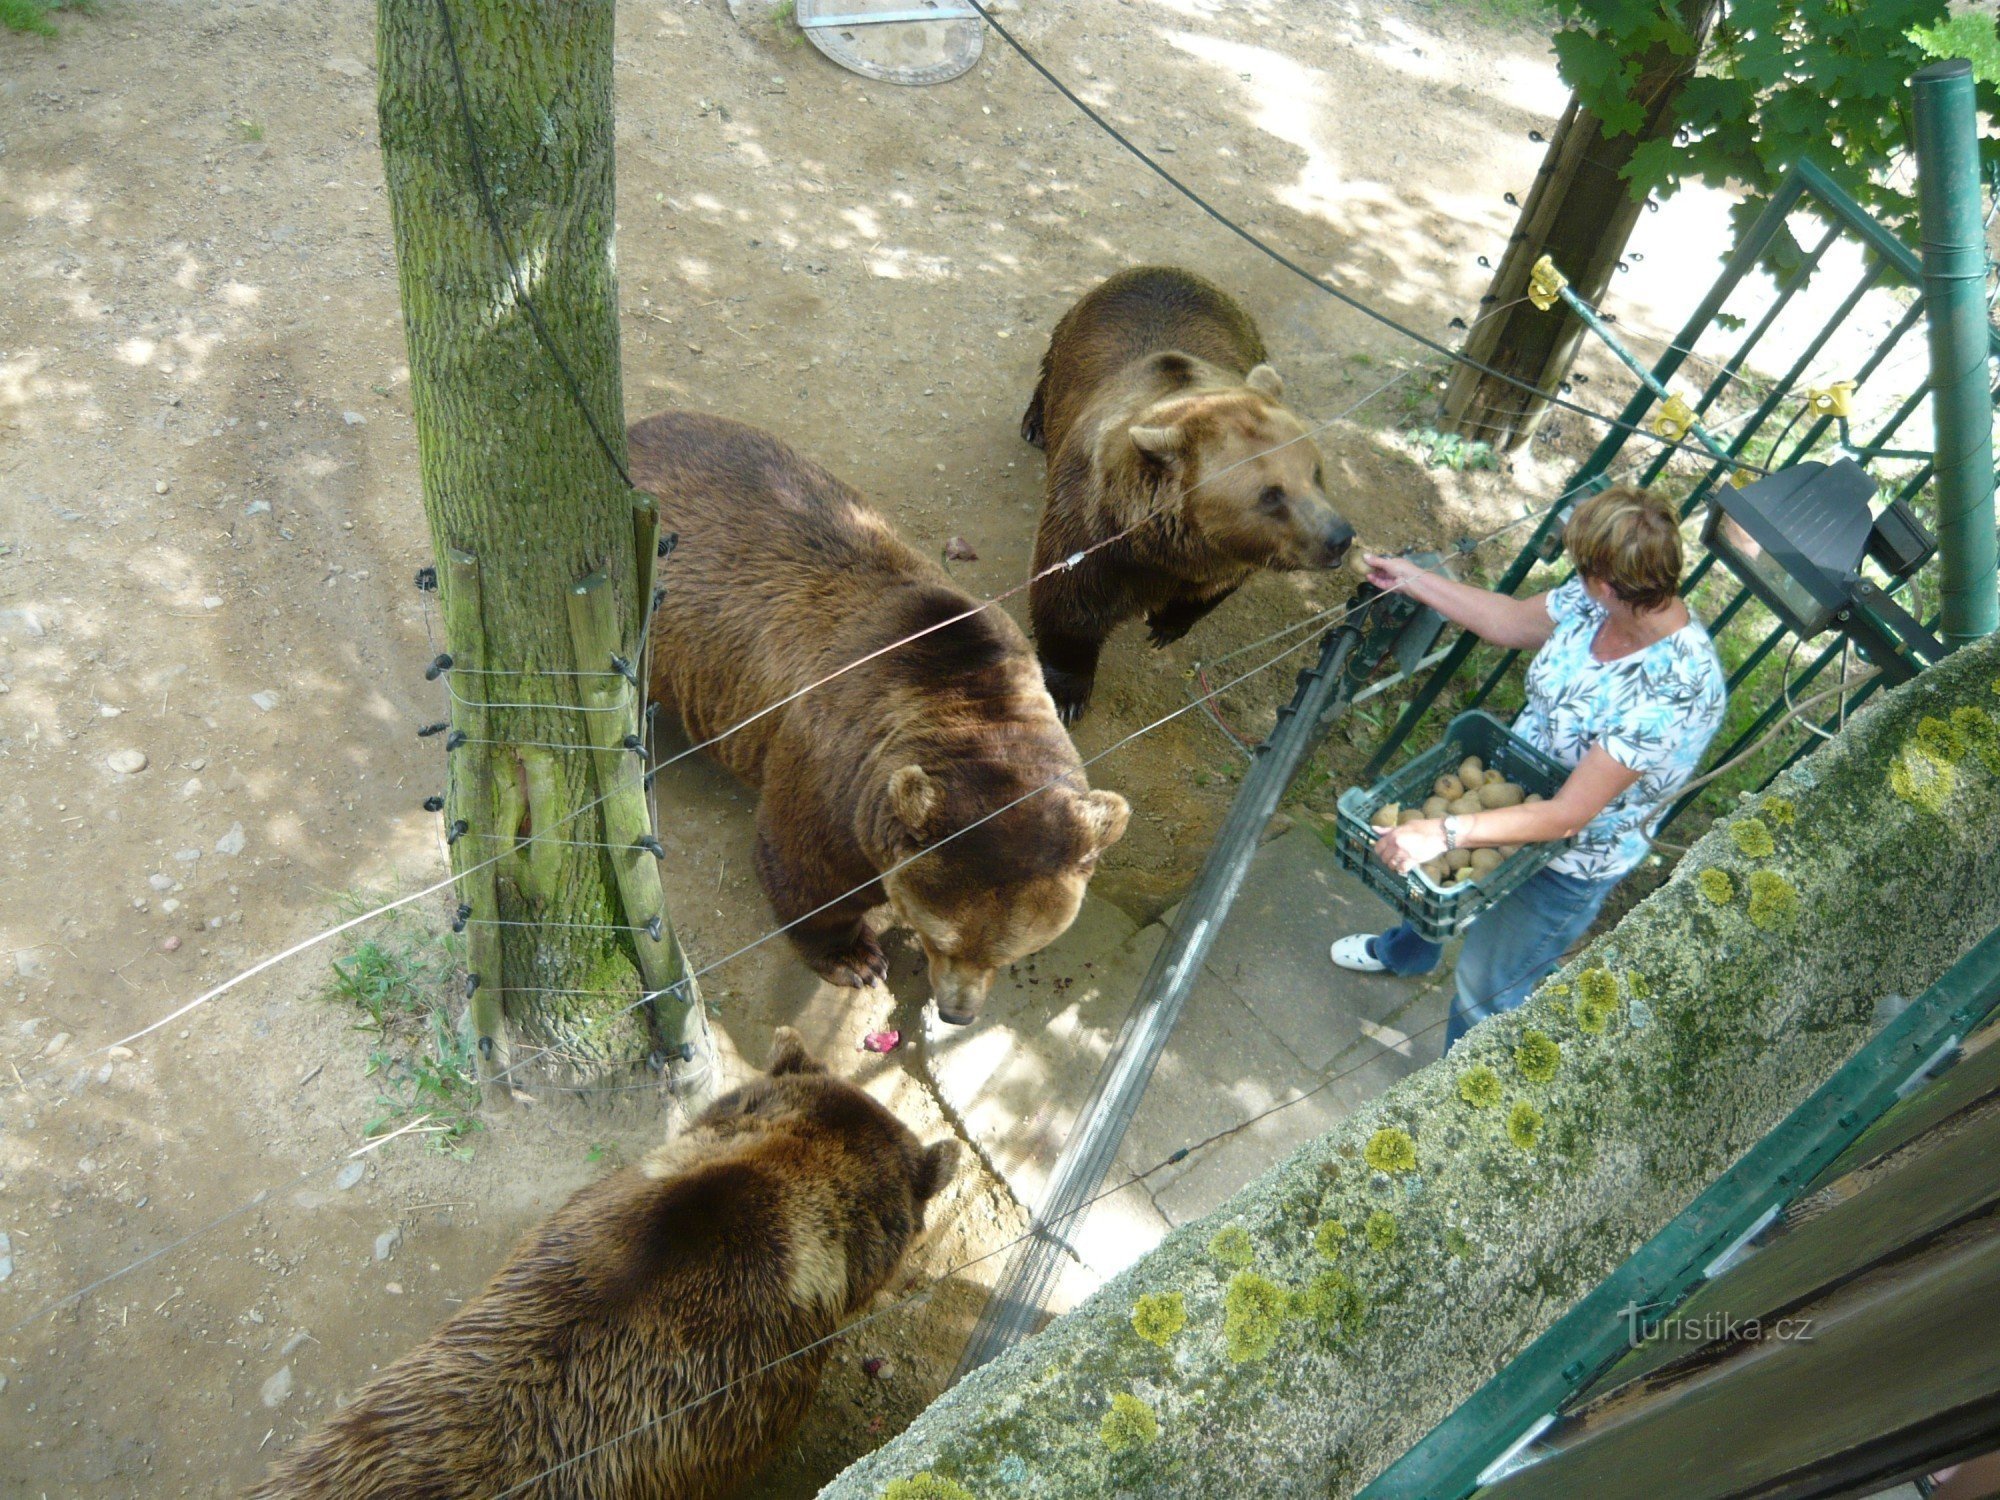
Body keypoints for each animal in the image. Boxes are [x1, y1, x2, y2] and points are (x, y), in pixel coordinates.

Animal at [632, 406, 1128, 1032]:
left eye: (1013, 950)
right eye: (943, 939)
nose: (958, 1012)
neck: (965, 697)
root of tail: (640, 427)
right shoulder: (834, 771)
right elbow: (808, 871)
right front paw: (856, 957)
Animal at [1016, 262, 1360, 724]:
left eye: (1316, 472)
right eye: (1271, 495)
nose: (1339, 537)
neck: (1166, 549)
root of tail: (1161, 267)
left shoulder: (1226, 558)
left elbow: (1207, 593)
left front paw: (1166, 625)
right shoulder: (1091, 529)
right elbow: (1068, 604)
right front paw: (1067, 694)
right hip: (1073, 338)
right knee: (1050, 371)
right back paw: (1034, 424)